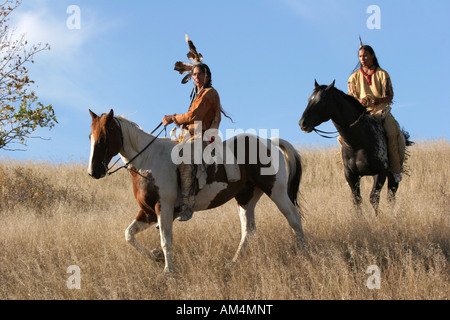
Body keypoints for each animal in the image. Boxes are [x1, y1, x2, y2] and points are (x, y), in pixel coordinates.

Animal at [87, 110, 306, 272]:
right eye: (90, 136)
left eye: (104, 137)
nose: (93, 172)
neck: (147, 160)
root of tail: (270, 142)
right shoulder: (148, 212)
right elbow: (129, 234)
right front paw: (156, 257)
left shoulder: (163, 208)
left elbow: (166, 240)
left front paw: (168, 270)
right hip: (246, 198)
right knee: (248, 230)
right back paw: (233, 263)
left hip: (276, 191)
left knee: (294, 219)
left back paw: (303, 252)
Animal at [298, 80, 412, 215]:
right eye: (309, 99)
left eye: (322, 100)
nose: (302, 123)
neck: (359, 142)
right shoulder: (350, 174)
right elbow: (357, 200)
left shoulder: (380, 172)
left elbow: (374, 198)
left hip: (393, 173)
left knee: (391, 195)